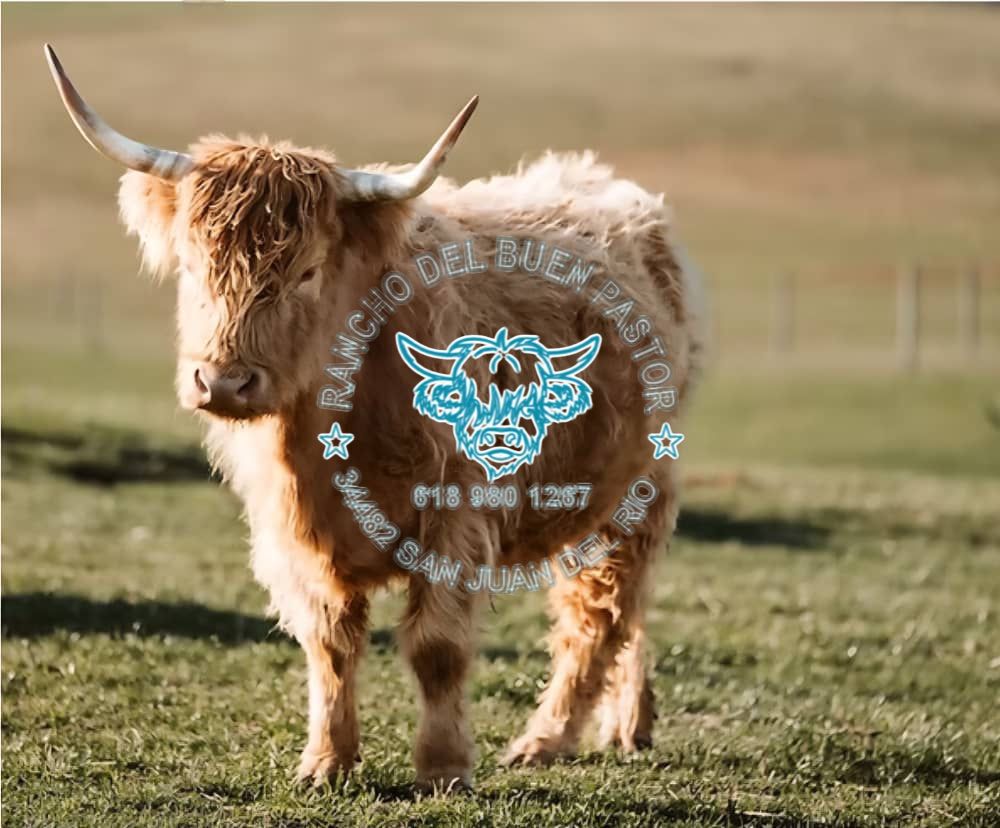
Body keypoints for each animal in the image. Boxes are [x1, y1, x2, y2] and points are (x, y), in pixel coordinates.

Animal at [44, 45, 704, 791]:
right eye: (190, 266)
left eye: (306, 272)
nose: (223, 381)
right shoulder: (293, 535)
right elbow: (330, 644)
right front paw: (326, 761)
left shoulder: (455, 517)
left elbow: (437, 648)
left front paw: (443, 769)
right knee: (625, 612)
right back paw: (628, 723)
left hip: (636, 488)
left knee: (602, 611)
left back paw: (548, 738)